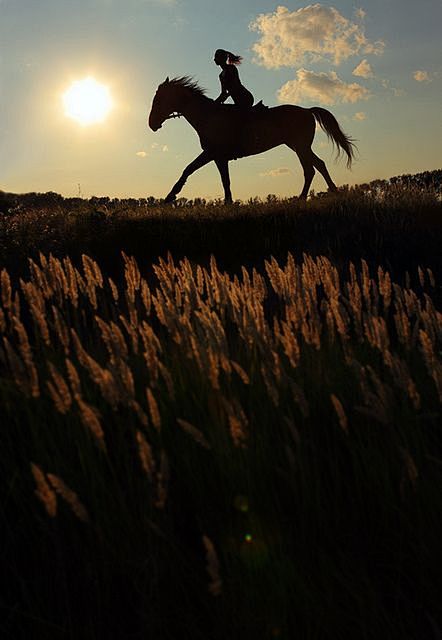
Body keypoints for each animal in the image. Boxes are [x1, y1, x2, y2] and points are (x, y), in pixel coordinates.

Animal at [148, 76, 356, 204]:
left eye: (158, 100)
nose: (151, 124)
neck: (207, 116)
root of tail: (307, 110)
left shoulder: (212, 154)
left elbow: (189, 169)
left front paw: (170, 197)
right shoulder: (218, 157)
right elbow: (224, 180)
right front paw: (228, 202)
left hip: (300, 146)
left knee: (311, 168)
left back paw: (309, 196)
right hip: (298, 146)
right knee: (317, 166)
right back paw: (325, 193)